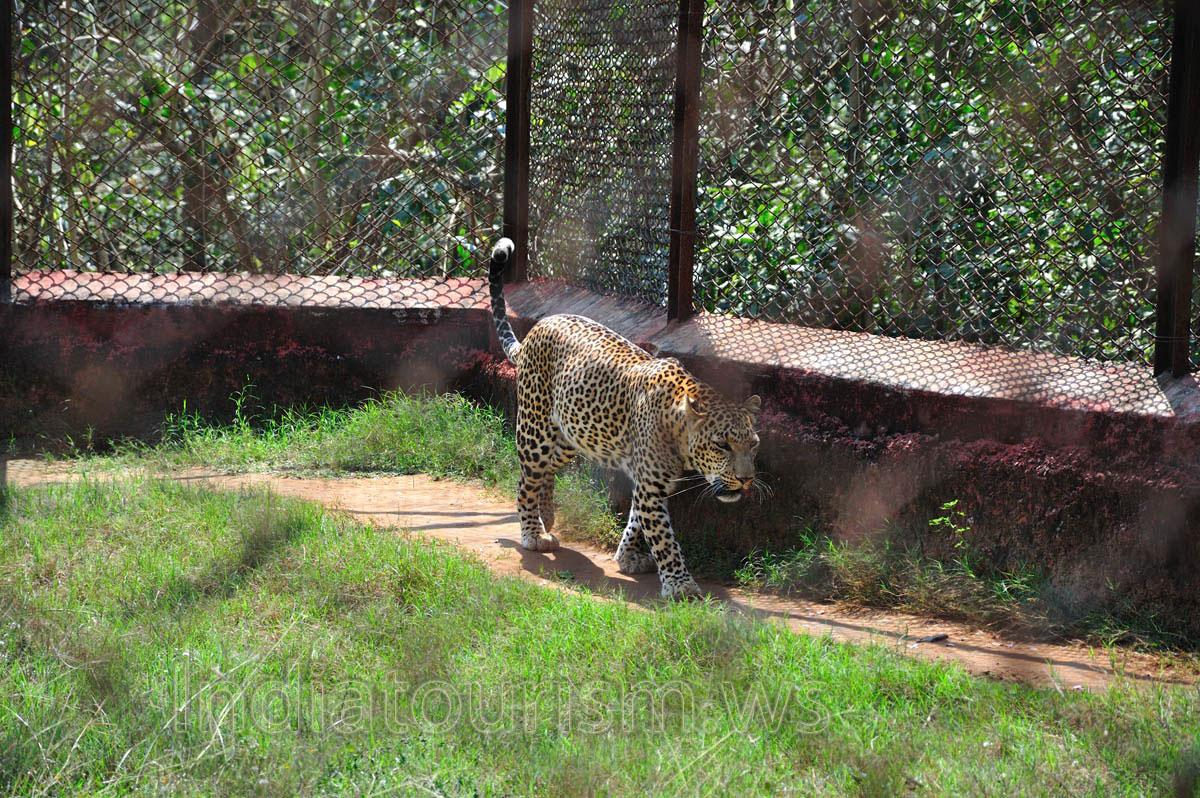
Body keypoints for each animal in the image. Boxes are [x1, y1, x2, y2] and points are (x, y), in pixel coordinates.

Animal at [488, 237, 762, 599]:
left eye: (753, 445)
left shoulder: (650, 482)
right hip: (536, 431)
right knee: (525, 480)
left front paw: (627, 558)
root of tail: (538, 328)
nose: (746, 480)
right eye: (722, 445)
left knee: (545, 472)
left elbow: (635, 522)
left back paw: (546, 513)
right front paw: (679, 585)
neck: (679, 433)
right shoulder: (650, 485)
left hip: (571, 436)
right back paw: (533, 532)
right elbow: (664, 539)